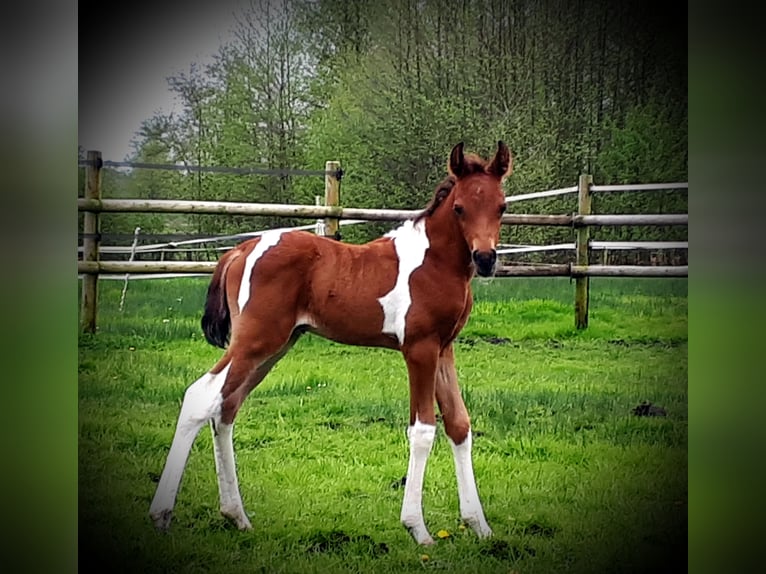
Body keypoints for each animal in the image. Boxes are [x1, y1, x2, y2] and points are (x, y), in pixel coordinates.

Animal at [148, 140, 512, 544]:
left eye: (501, 206)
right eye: (460, 207)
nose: (485, 258)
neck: (433, 263)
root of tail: (240, 251)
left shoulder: (444, 347)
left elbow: (459, 424)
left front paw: (480, 526)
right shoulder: (419, 349)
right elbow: (423, 430)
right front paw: (418, 529)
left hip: (274, 348)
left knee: (226, 406)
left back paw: (236, 515)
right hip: (255, 341)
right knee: (201, 396)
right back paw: (161, 515)